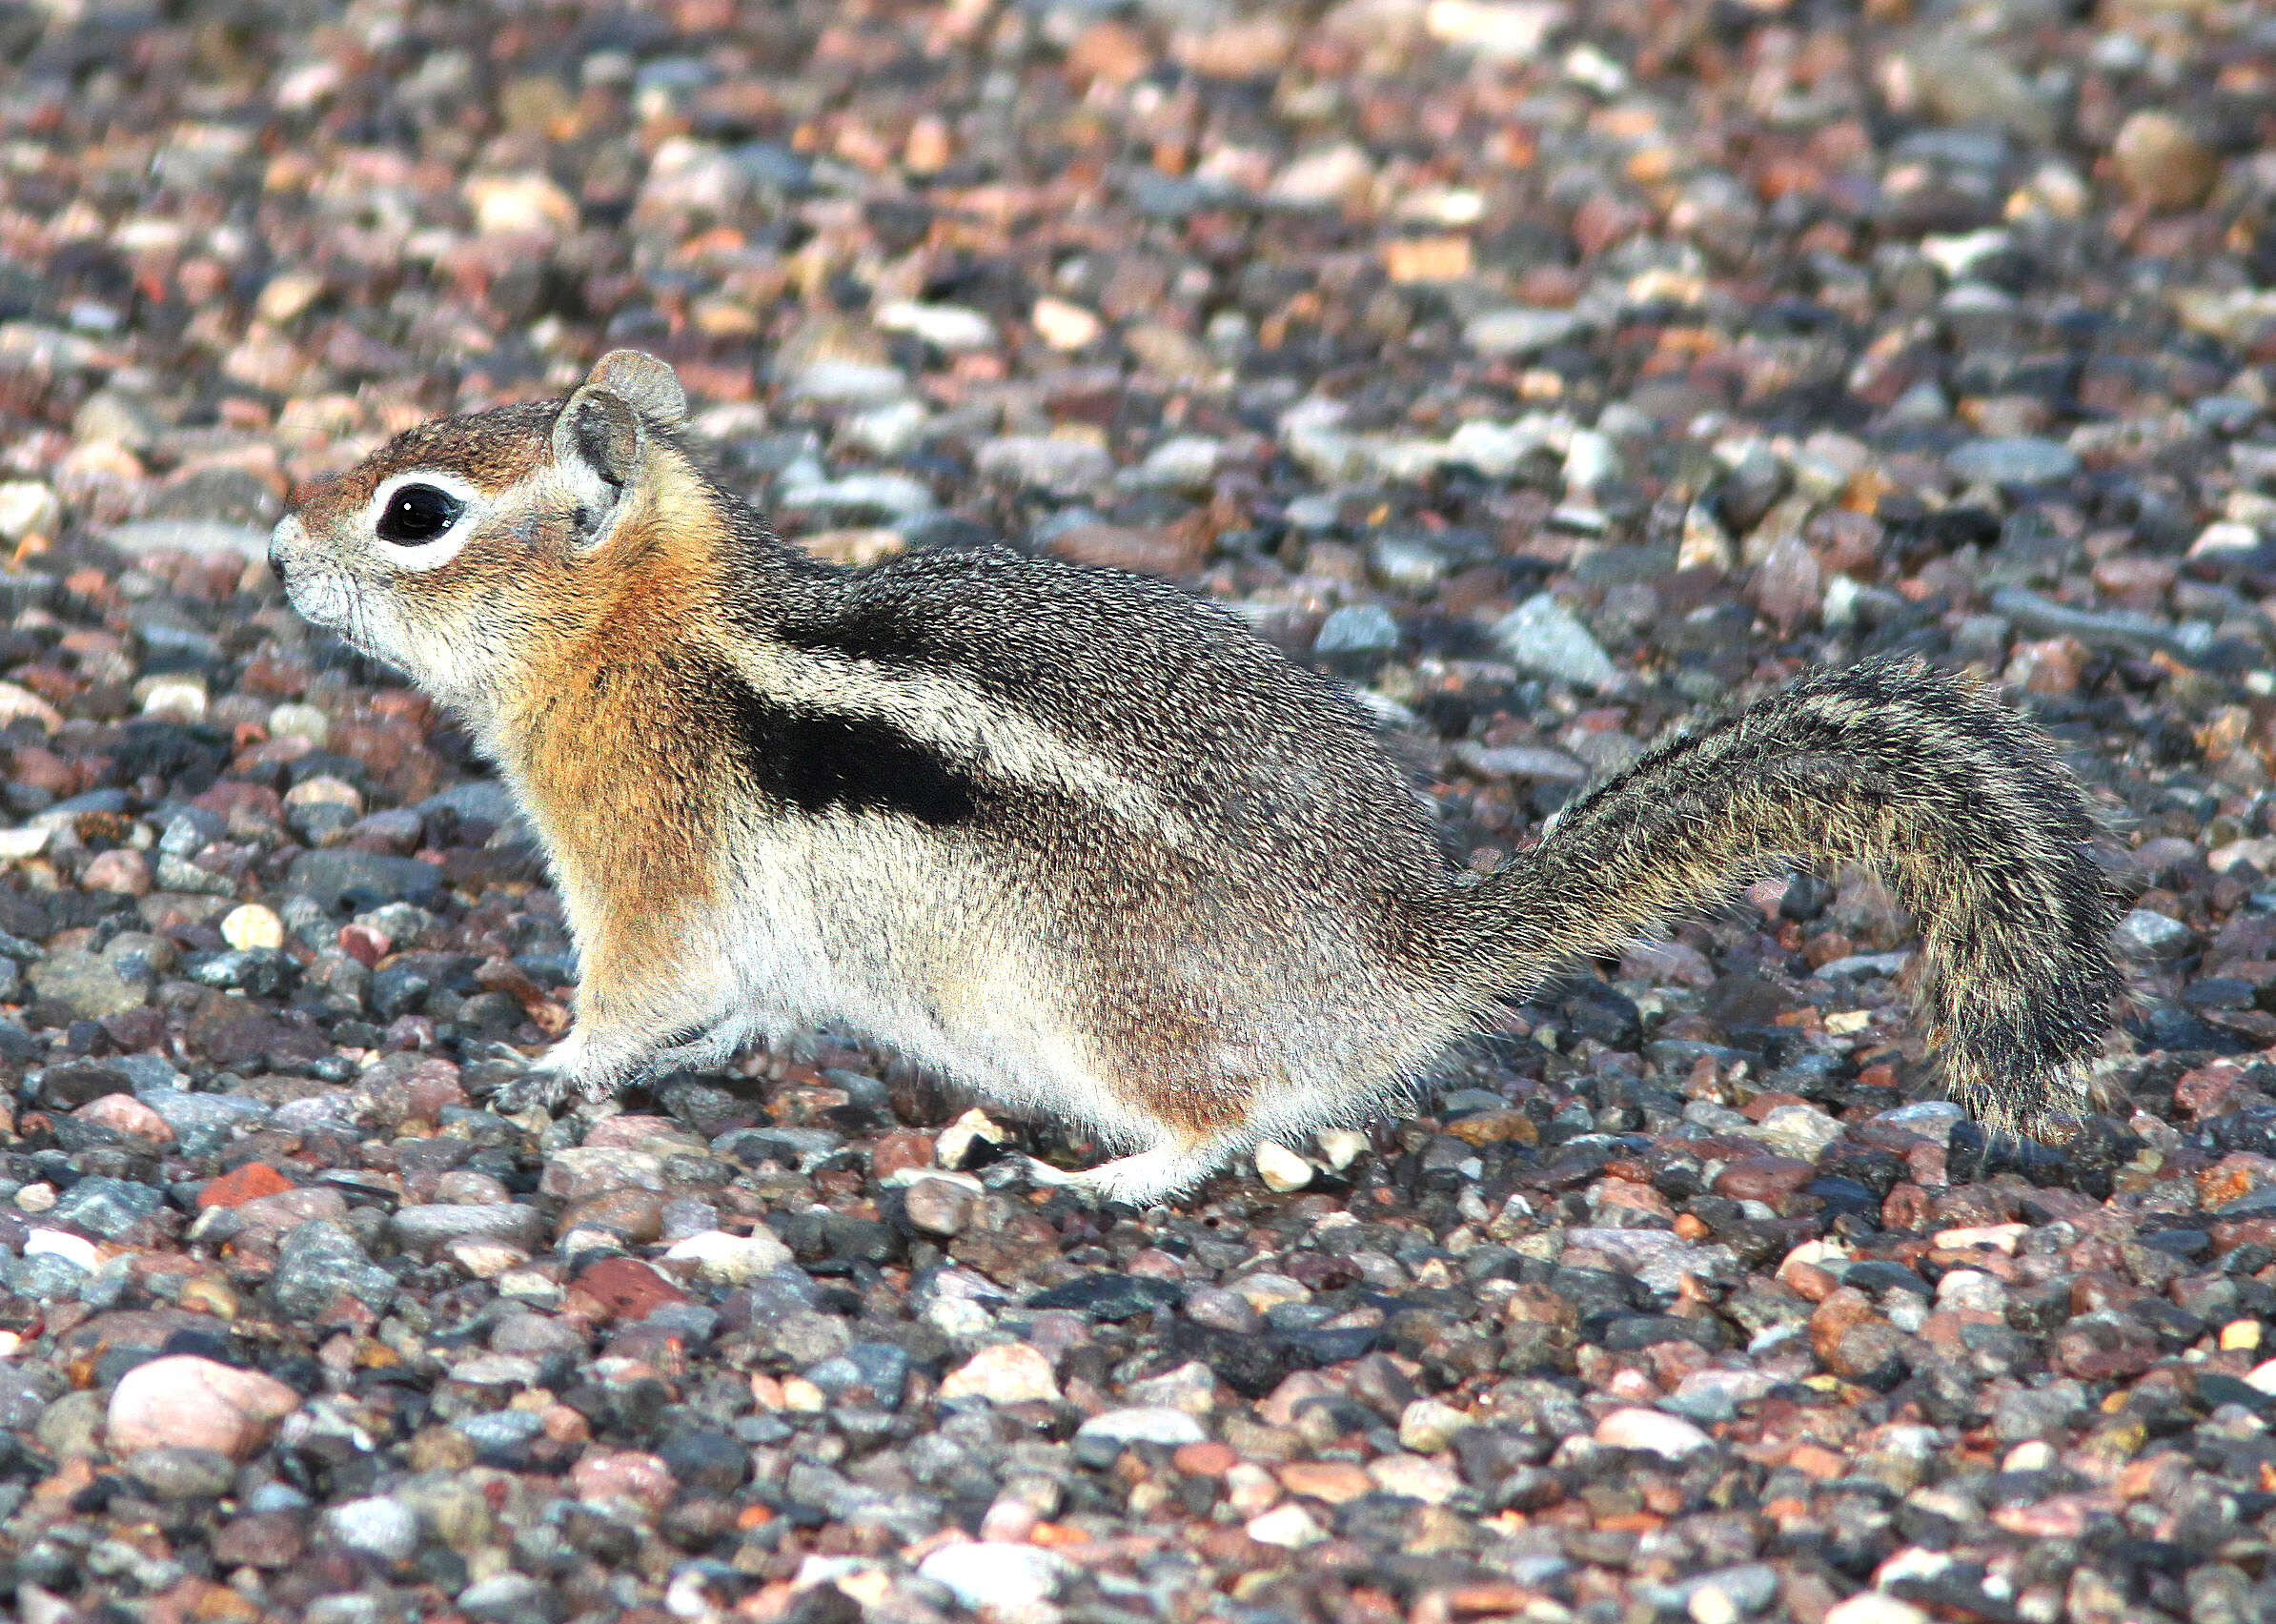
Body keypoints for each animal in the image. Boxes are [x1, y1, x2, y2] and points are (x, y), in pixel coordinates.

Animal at [274, 348, 2121, 1191]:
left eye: (415, 512)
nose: (274, 556)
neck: (636, 635)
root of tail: (1403, 955)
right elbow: (732, 1003)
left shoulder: (638, 858)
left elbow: (639, 989)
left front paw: (550, 1065)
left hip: (1090, 1003)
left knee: (1220, 1120)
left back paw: (1112, 1172)